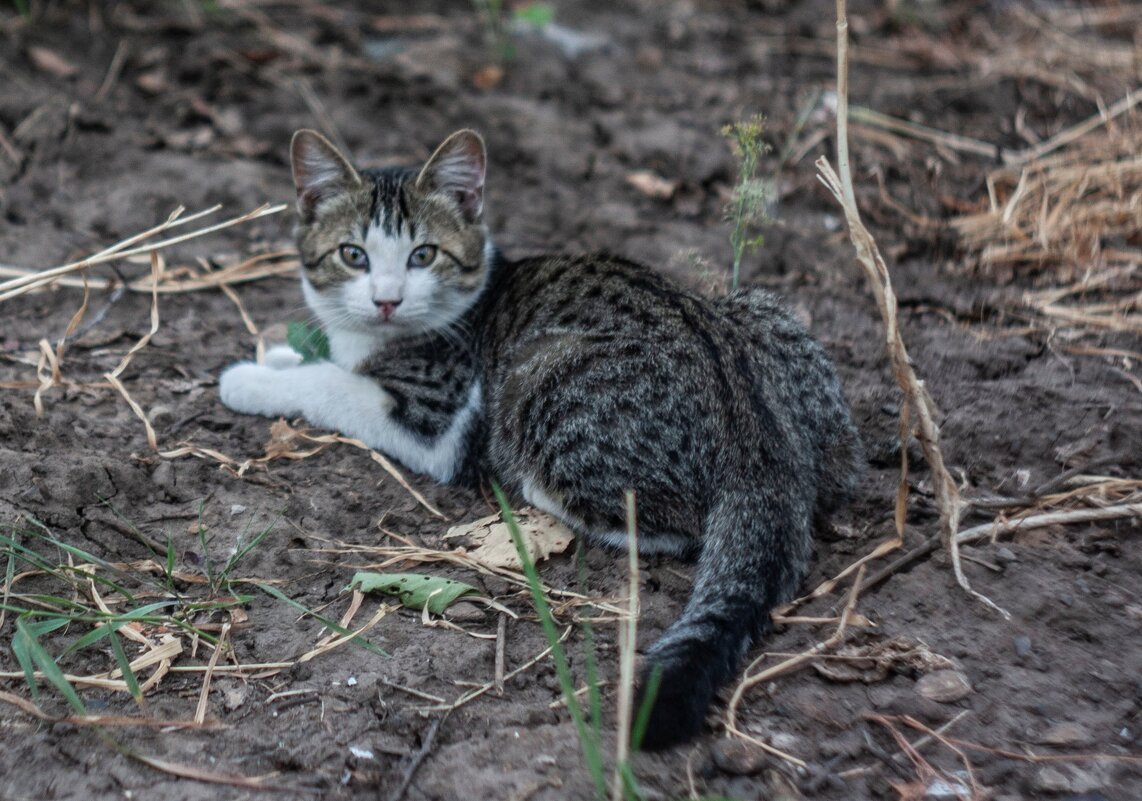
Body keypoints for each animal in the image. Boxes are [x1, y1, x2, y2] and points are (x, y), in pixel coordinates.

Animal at [220, 126, 863, 749]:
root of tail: (755, 430)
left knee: (672, 524)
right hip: (763, 312)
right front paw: (279, 354)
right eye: (353, 255)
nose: (386, 300)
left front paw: (252, 379)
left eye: (423, 255)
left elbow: (331, 382)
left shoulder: (434, 416)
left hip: (536, 379)